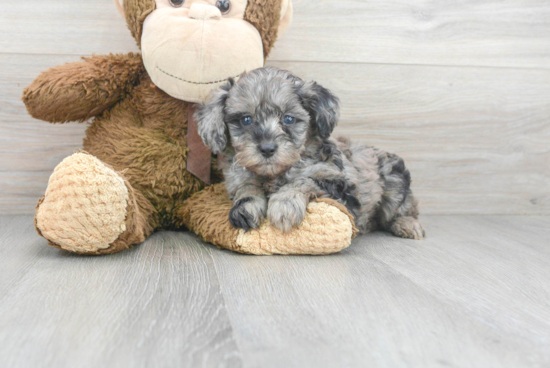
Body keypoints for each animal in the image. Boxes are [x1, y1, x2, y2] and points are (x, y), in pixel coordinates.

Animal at [198, 66, 426, 240]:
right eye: (246, 120)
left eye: (288, 119)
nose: (267, 148)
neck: (274, 175)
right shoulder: (238, 179)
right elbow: (246, 187)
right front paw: (247, 206)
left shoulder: (341, 186)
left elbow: (304, 180)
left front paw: (284, 205)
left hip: (394, 181)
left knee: (404, 208)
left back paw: (408, 225)